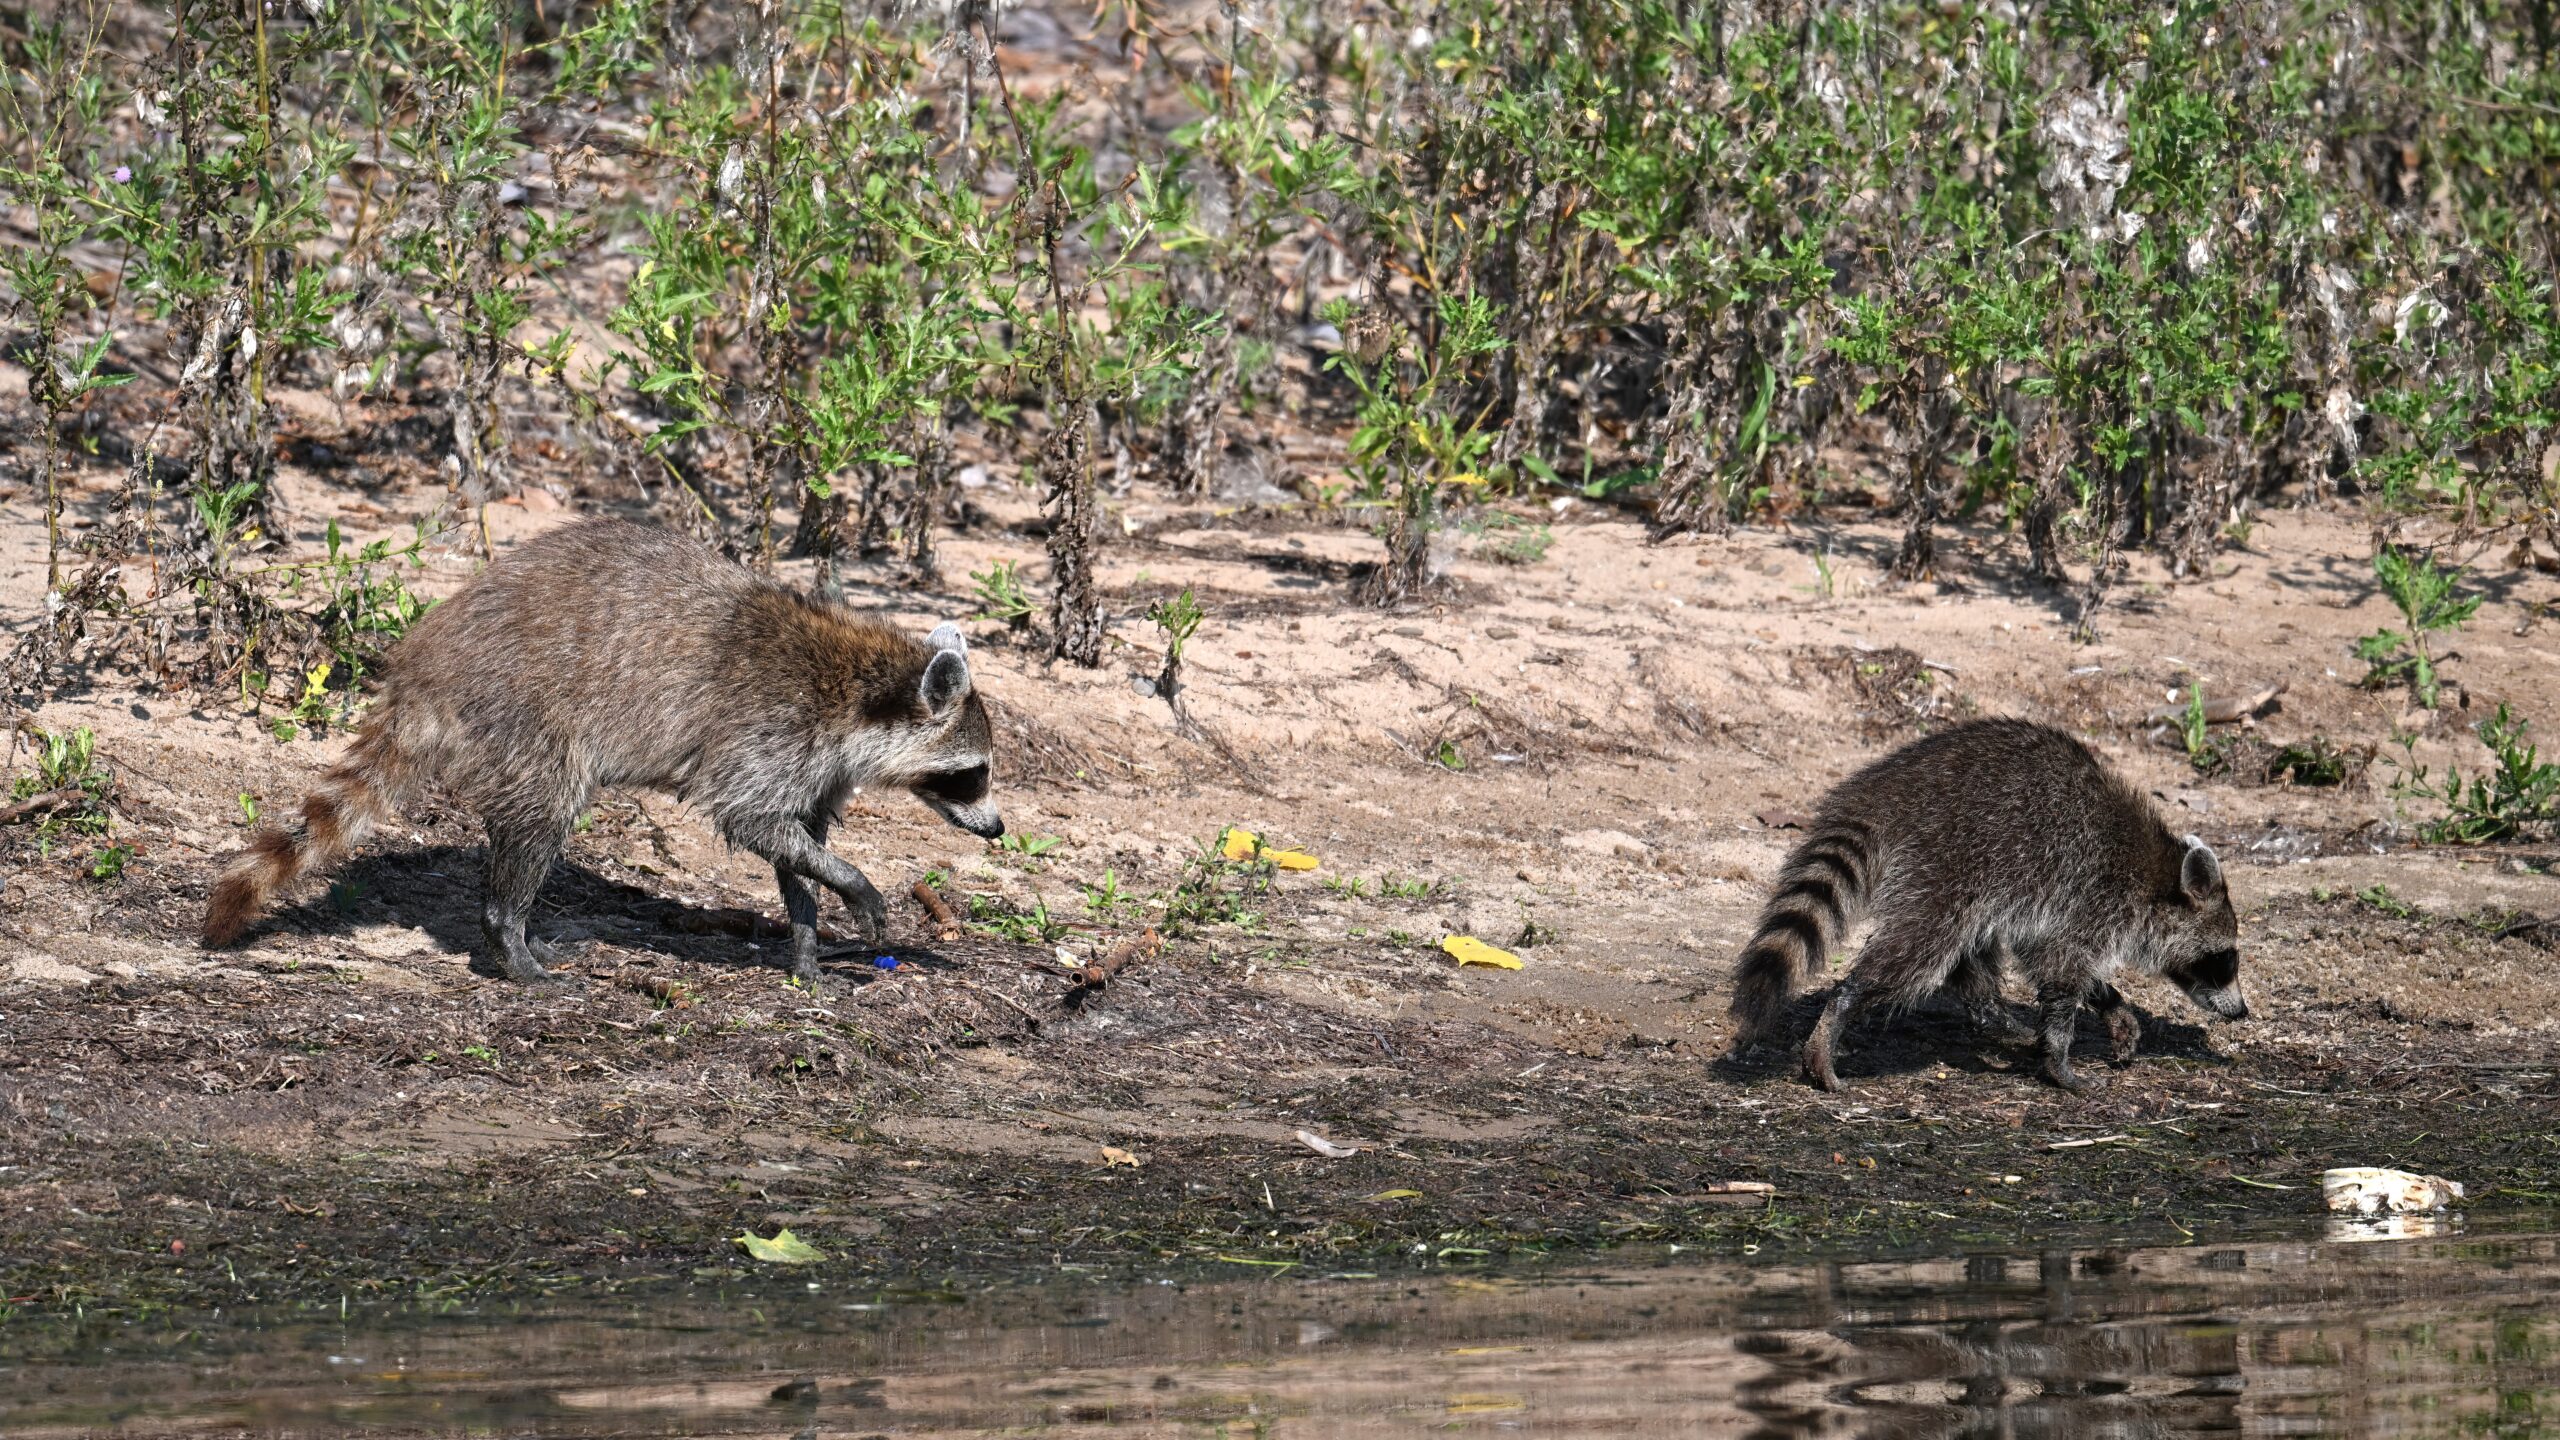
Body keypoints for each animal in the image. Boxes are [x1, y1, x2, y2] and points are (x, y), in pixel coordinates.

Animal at [202, 517, 1003, 984]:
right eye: (973, 775)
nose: (997, 829)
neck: (859, 684)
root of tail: (424, 672)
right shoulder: (767, 732)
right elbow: (749, 821)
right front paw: (857, 885)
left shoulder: (812, 768)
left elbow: (794, 846)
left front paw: (806, 939)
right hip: (523, 714)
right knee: (543, 816)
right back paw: (509, 936)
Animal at [1727, 718, 2246, 1093]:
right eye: (2226, 958)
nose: (2241, 1012)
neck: (2158, 876)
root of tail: (1885, 791)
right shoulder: (2097, 893)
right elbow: (2062, 967)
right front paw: (2059, 1059)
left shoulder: (2069, 905)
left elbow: (2050, 959)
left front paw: (2111, 1005)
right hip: (1956, 856)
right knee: (1920, 952)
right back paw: (1843, 1006)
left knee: (1970, 948)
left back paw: (1990, 1010)